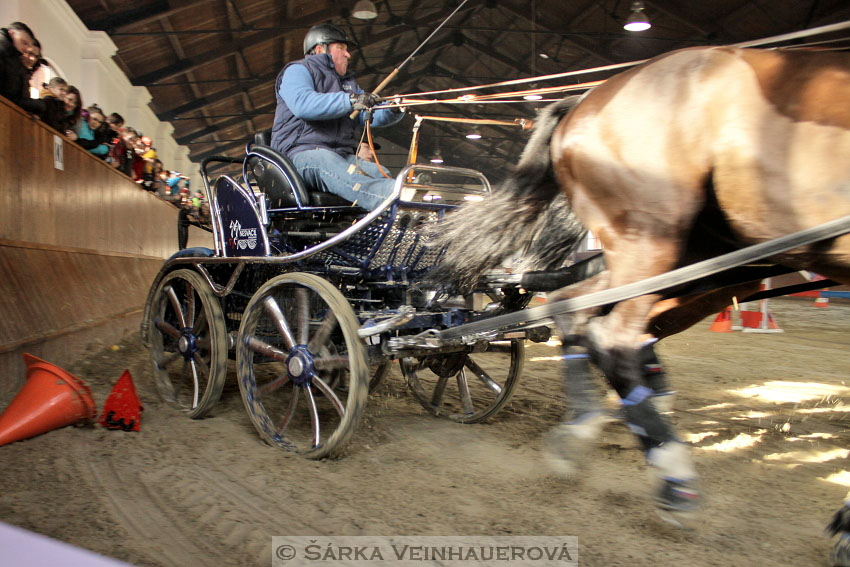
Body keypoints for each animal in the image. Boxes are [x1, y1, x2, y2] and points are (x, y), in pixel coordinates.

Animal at [428, 46, 848, 536]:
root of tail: (591, 96)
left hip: (693, 256)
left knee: (585, 311)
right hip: (657, 240)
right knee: (609, 330)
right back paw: (668, 472)